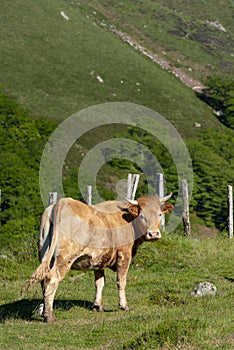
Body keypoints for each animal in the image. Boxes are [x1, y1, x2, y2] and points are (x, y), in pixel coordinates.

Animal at [23, 194, 174, 322]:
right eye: (141, 216)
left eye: (160, 214)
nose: (153, 234)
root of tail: (63, 201)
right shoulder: (124, 255)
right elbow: (121, 281)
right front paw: (123, 305)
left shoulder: (98, 259)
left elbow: (99, 282)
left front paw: (97, 306)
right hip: (64, 258)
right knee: (52, 279)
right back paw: (49, 315)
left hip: (45, 255)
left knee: (44, 280)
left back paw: (44, 312)